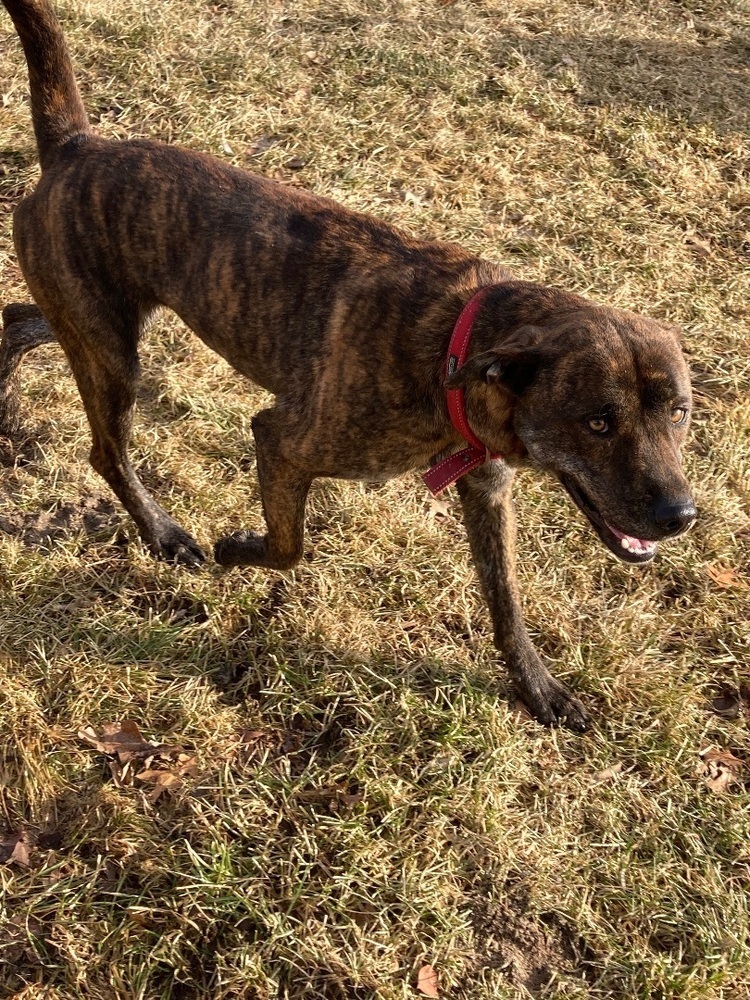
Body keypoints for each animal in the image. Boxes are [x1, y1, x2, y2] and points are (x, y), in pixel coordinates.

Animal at [0, 0, 700, 728]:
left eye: (679, 414)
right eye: (598, 423)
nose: (682, 516)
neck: (455, 344)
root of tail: (78, 147)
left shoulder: (487, 490)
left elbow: (505, 603)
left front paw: (540, 687)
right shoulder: (283, 442)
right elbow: (288, 547)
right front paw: (235, 549)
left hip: (91, 323)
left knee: (18, 320)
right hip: (113, 354)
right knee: (106, 452)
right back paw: (165, 534)